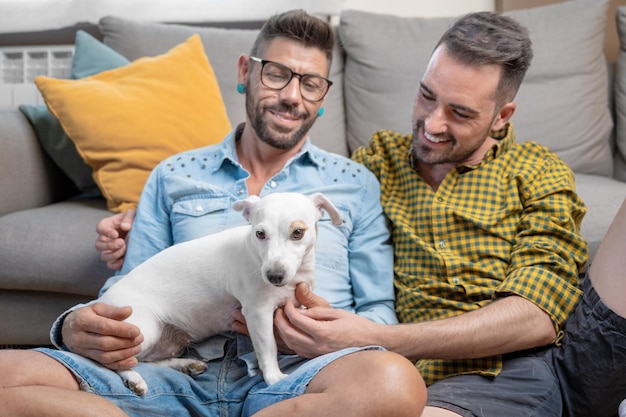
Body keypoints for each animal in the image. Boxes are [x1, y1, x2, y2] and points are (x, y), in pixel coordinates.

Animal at [97, 191, 342, 394]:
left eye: (298, 232)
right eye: (260, 234)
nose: (274, 276)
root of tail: (104, 300)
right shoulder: (258, 313)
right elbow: (268, 349)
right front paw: (273, 377)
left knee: (147, 361)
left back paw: (185, 364)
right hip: (144, 332)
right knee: (116, 361)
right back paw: (134, 379)